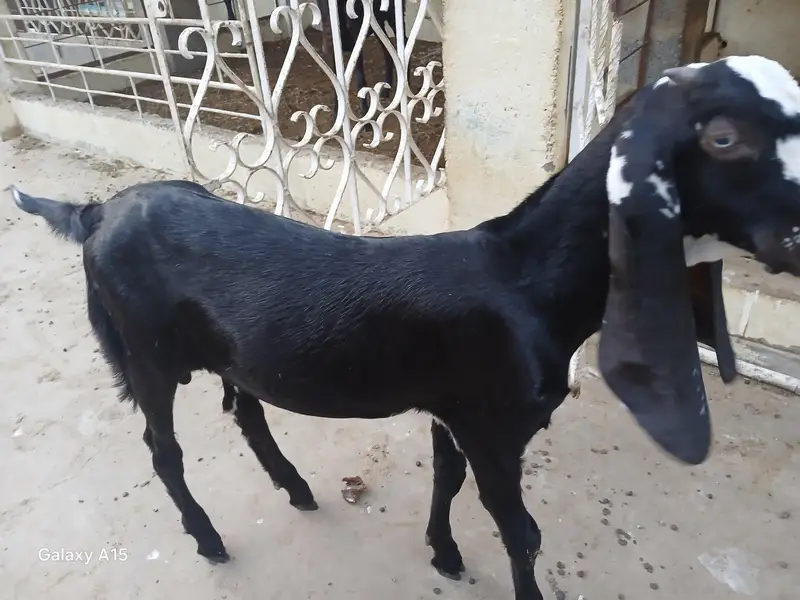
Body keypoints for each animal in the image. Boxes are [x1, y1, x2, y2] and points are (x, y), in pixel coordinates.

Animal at [11, 55, 800, 600]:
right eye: (724, 137)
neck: (523, 277)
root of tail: (95, 211)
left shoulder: (453, 409)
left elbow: (446, 480)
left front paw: (443, 555)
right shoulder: (493, 424)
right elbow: (520, 529)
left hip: (227, 353)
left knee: (245, 407)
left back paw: (295, 487)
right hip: (144, 353)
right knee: (163, 449)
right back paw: (208, 539)